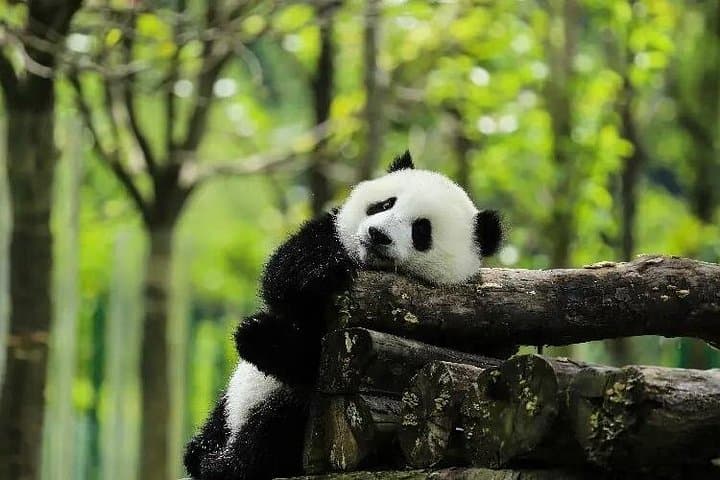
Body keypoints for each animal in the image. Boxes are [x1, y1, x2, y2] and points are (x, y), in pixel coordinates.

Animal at [183, 151, 503, 480]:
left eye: (421, 230)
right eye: (385, 204)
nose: (378, 234)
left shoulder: (457, 323)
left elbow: (317, 358)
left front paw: (266, 338)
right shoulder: (332, 232)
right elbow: (283, 272)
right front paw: (321, 272)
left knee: (277, 425)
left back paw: (224, 463)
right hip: (229, 403)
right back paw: (200, 451)